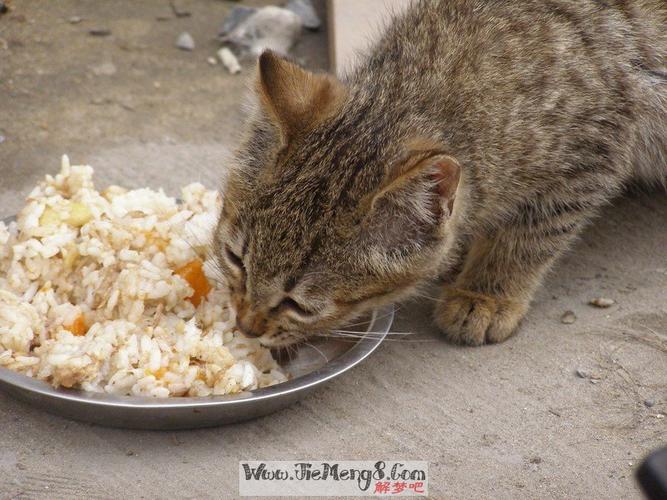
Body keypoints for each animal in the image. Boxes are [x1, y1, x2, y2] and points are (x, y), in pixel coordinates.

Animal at [214, 0, 667, 348]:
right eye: (235, 259)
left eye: (299, 304)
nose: (245, 327)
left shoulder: (594, 153)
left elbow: (530, 234)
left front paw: (486, 292)